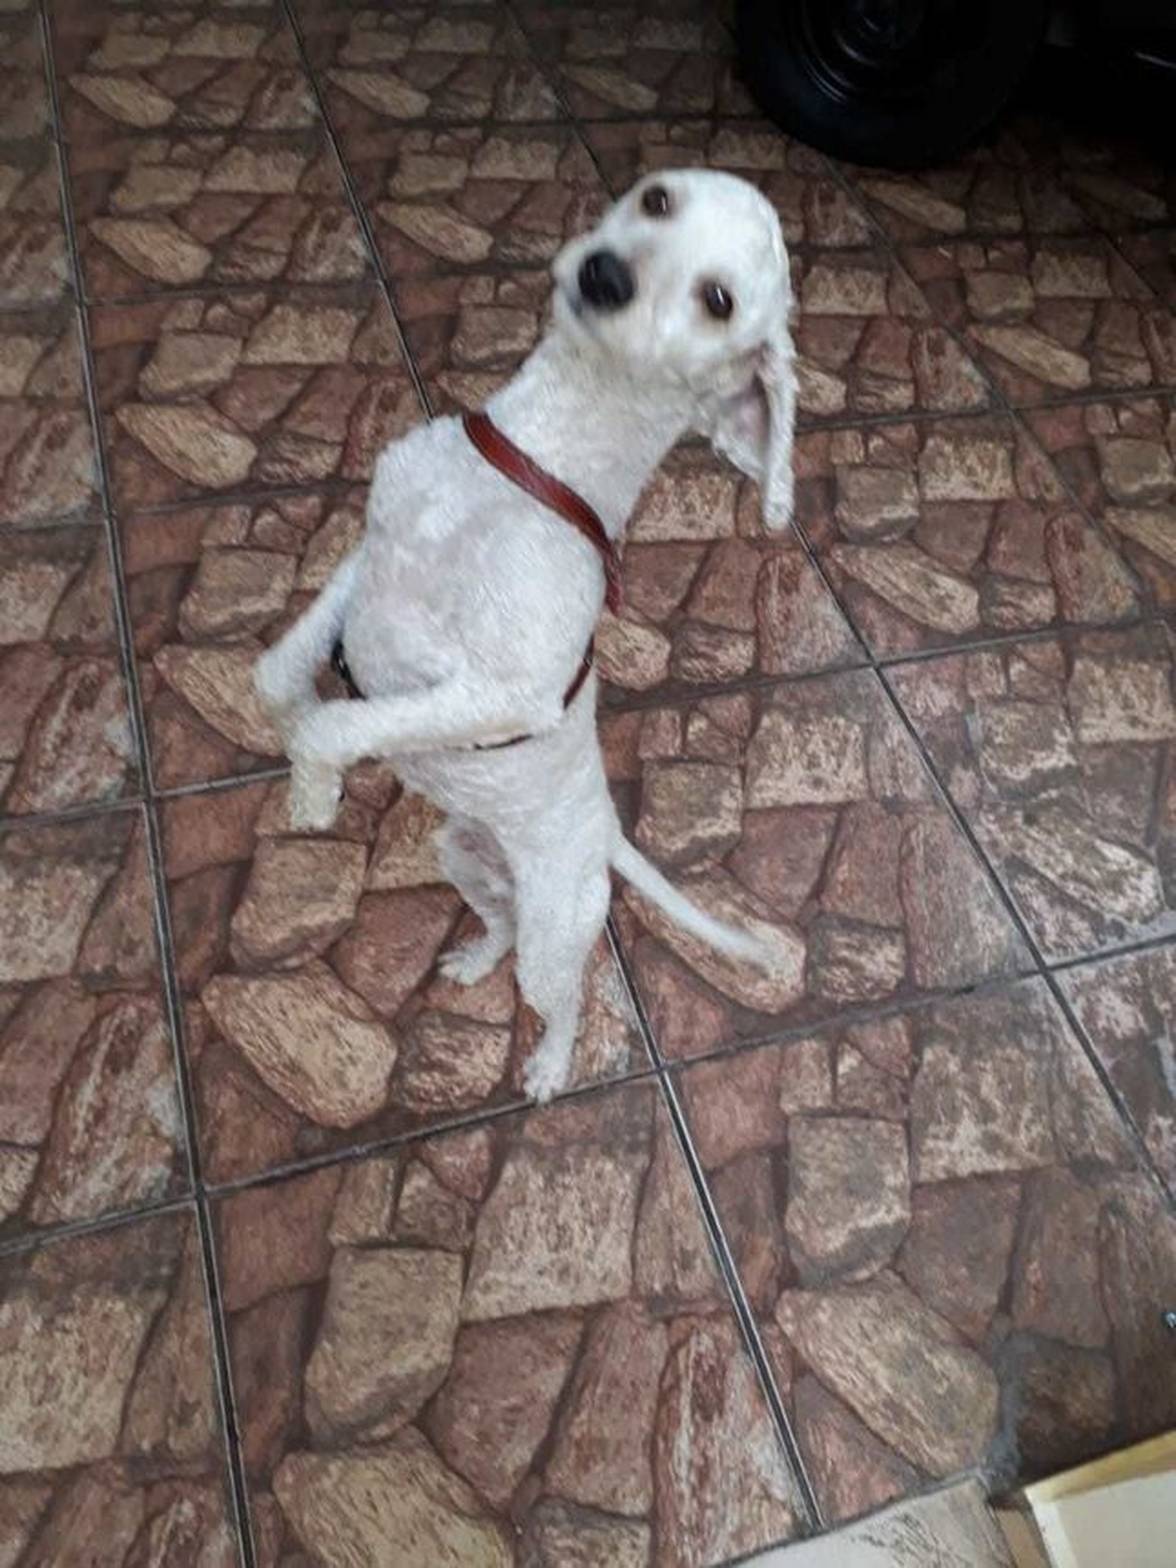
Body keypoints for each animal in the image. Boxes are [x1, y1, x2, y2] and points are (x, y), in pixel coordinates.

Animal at [254, 168, 797, 1102]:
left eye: (720, 300)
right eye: (658, 199)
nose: (606, 276)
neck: (535, 460)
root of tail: (607, 835)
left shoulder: (508, 692)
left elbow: (340, 722)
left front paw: (314, 788)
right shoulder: (370, 558)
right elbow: (277, 671)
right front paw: (288, 716)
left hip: (556, 930)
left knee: (567, 994)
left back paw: (547, 1065)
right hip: (462, 855)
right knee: (500, 924)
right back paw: (475, 960)